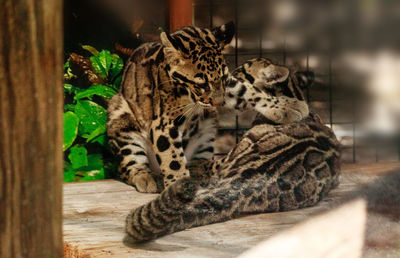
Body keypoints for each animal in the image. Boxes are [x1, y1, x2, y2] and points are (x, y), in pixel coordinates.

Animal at [106, 22, 310, 192]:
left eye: (224, 78)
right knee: (127, 167)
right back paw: (146, 177)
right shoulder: (163, 123)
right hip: (120, 114)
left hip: (208, 125)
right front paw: (177, 185)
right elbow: (172, 158)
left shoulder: (229, 88)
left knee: (200, 160)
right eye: (202, 84)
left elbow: (248, 91)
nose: (218, 103)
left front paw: (288, 106)